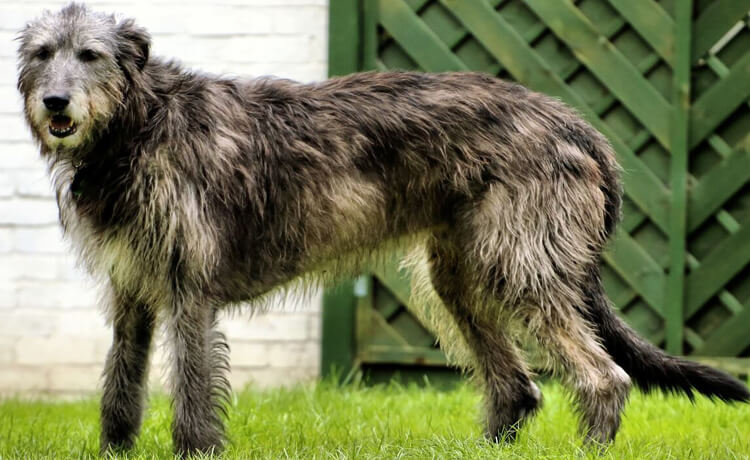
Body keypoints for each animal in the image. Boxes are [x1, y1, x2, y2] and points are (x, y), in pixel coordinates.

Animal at [17, 2, 750, 456]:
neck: (137, 126)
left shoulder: (190, 291)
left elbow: (194, 398)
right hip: (460, 275)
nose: (55, 103)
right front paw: (114, 451)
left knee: (603, 376)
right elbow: (119, 388)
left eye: (91, 54)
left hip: (522, 265)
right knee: (517, 386)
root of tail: (574, 122)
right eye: (43, 53)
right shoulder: (133, 293)